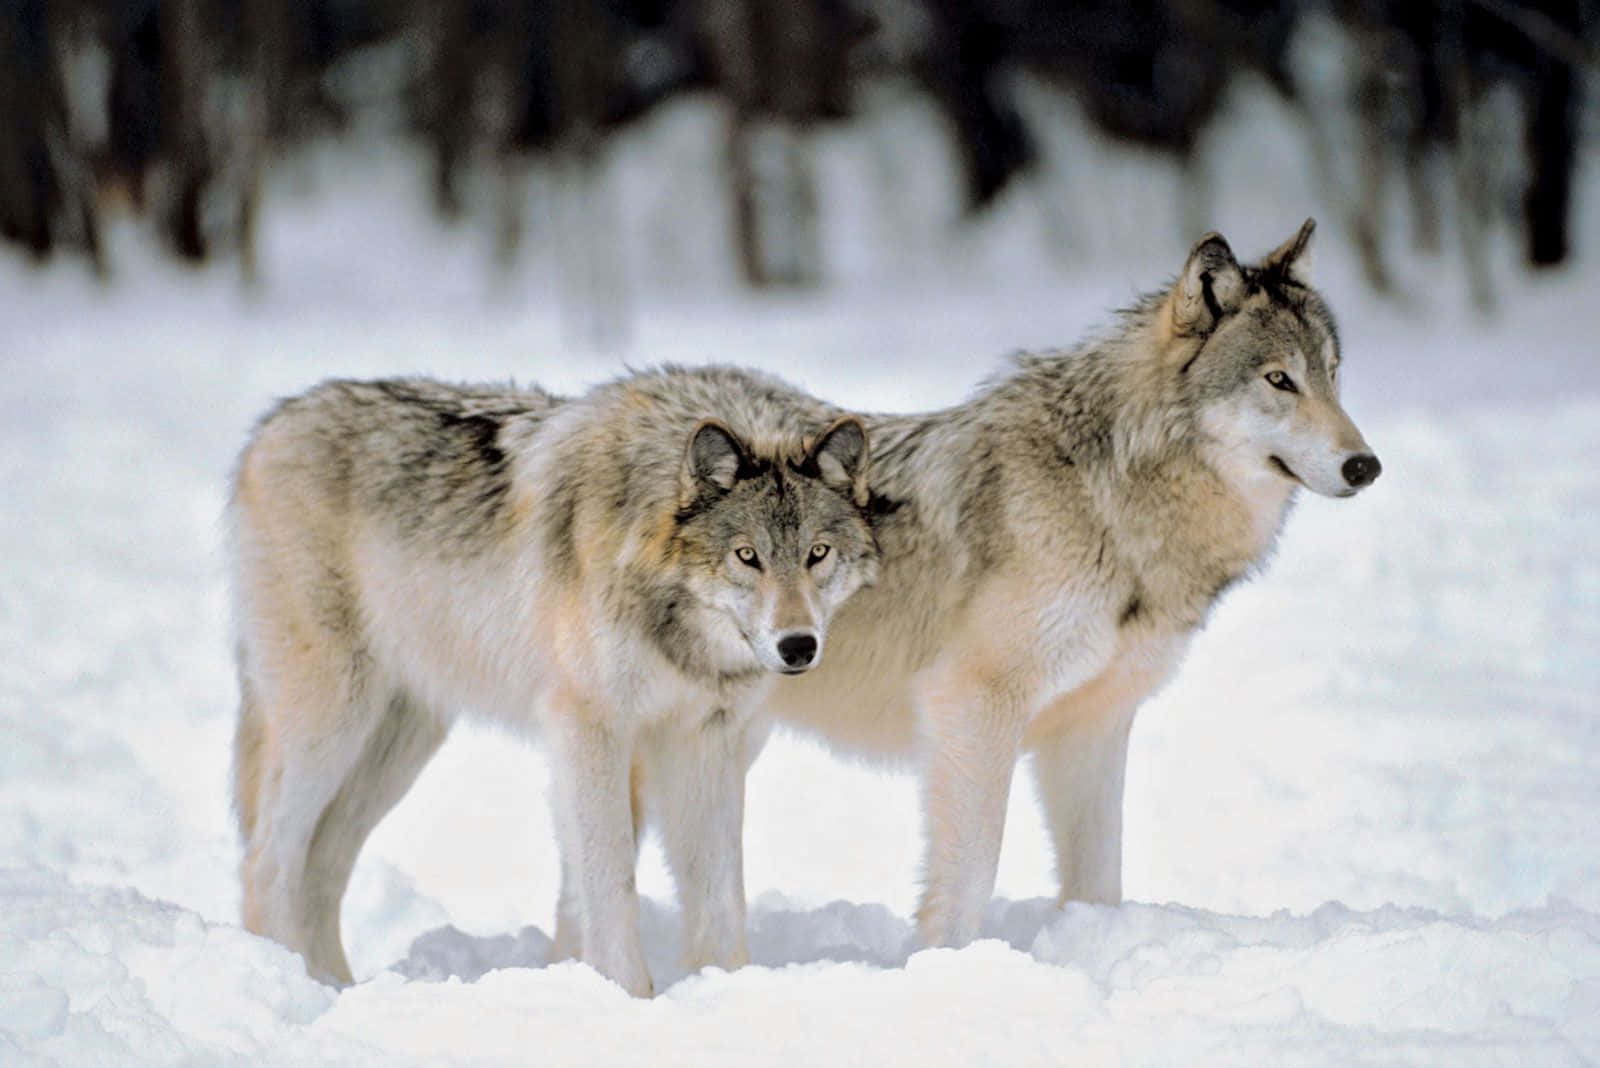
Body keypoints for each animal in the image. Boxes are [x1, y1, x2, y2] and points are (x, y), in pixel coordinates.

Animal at [228, 367, 879, 997]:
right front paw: (628, 995)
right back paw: (296, 984)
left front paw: (726, 988)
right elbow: (609, 879)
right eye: (747, 556)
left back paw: (337, 987)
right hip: (333, 723)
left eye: (817, 553)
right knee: (268, 860)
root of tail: (273, 424)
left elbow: (720, 895)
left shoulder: (707, 742)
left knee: (321, 866)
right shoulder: (590, 728)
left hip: (397, 748)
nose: (798, 646)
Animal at [757, 219, 1381, 947]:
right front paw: (947, 962)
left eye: (1333, 376)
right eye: (1279, 380)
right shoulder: (973, 703)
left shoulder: (1093, 725)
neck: (1107, 499)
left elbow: (1099, 879)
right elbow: (971, 874)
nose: (1366, 466)